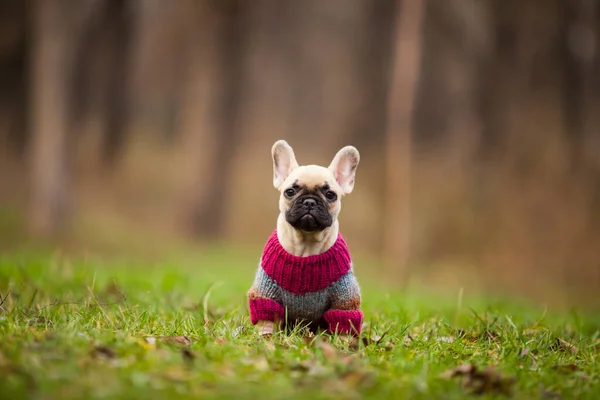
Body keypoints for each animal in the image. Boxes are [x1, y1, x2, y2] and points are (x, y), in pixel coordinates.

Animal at [247, 141, 364, 338]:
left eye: (330, 195)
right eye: (290, 192)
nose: (309, 201)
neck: (306, 246)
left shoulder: (344, 296)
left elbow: (343, 319)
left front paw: (345, 343)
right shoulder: (266, 292)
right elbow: (267, 318)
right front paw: (266, 338)